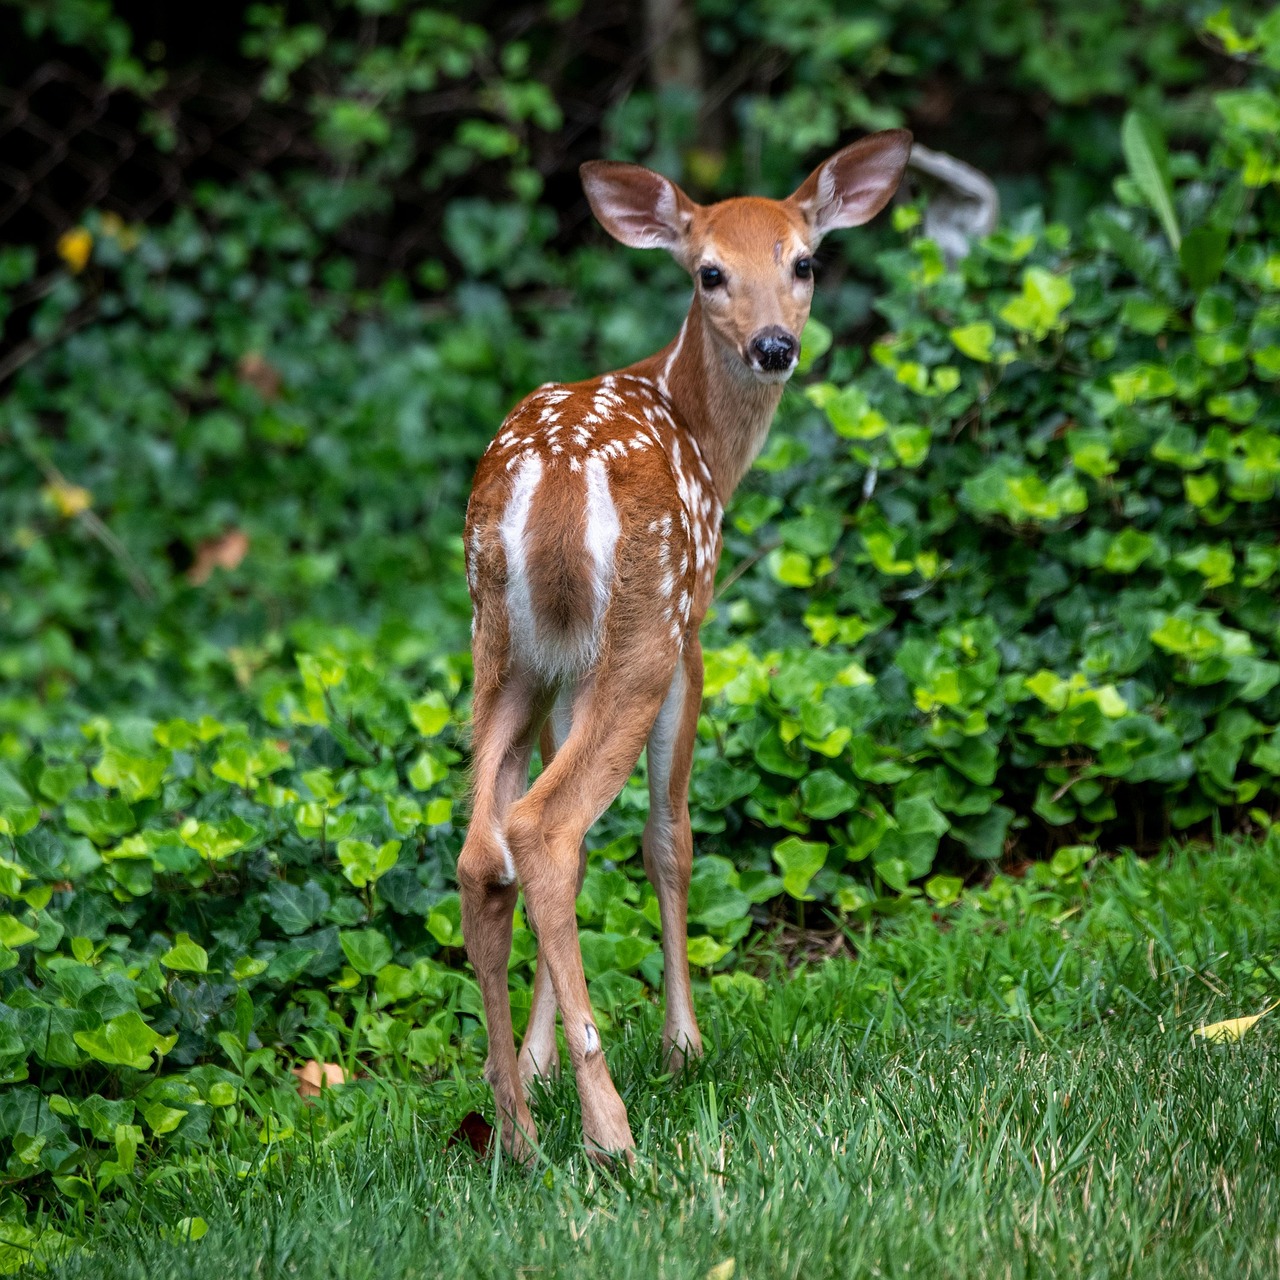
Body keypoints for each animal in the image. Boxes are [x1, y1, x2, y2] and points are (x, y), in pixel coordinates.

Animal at [458, 129, 913, 1163]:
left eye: (804, 261)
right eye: (710, 272)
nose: (775, 345)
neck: (700, 430)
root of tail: (550, 484)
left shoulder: (562, 670)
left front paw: (539, 1064)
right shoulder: (694, 627)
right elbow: (670, 837)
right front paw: (683, 1045)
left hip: (502, 649)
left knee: (485, 847)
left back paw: (516, 1128)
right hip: (645, 632)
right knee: (545, 830)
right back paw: (611, 1130)